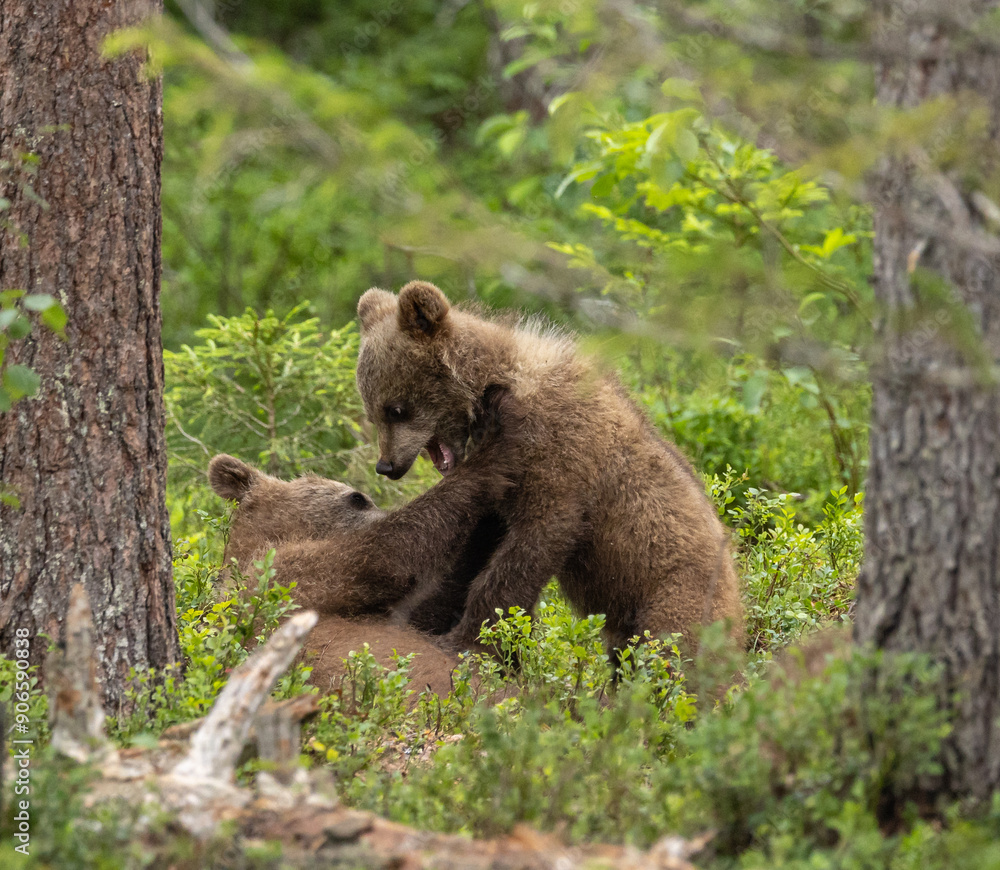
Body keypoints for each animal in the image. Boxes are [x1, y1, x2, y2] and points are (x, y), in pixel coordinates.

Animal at [355, 280, 744, 663]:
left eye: (396, 409)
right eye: (372, 411)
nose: (386, 466)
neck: (494, 385)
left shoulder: (558, 453)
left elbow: (536, 540)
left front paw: (471, 639)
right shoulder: (504, 480)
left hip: (678, 593)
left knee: (670, 651)